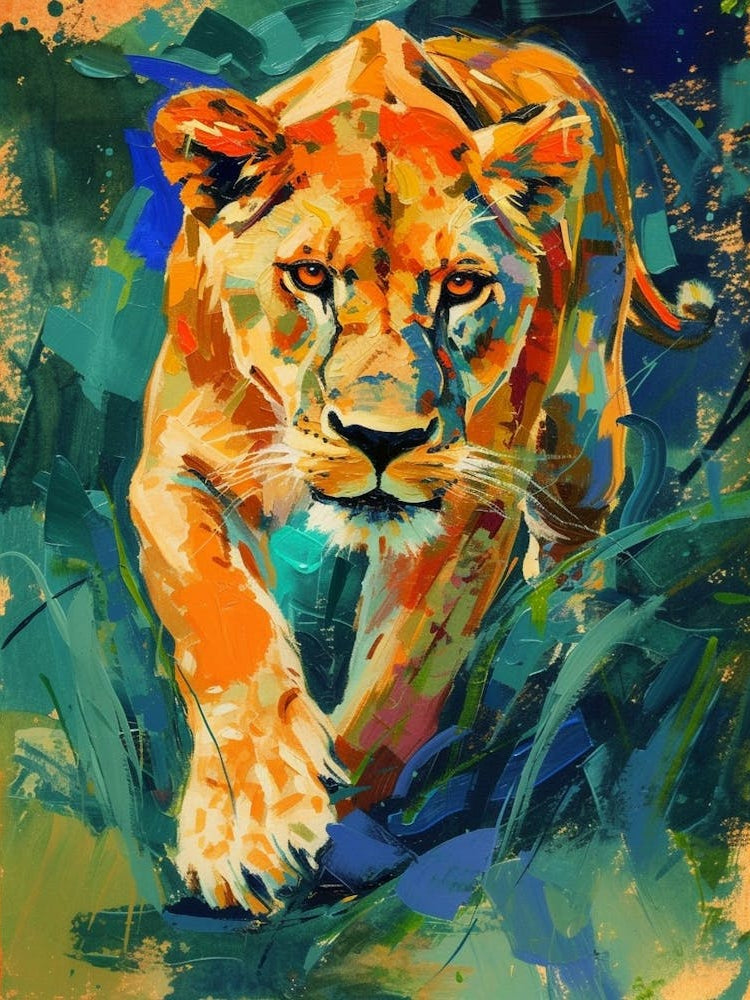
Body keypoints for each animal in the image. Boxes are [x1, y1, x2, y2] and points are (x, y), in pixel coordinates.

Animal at [129, 21, 714, 913]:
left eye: (463, 287)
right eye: (309, 275)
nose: (382, 439)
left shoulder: (471, 502)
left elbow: (398, 680)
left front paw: (345, 833)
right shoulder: (176, 469)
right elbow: (225, 625)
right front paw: (247, 827)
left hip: (586, 425)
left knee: (580, 544)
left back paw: (568, 646)